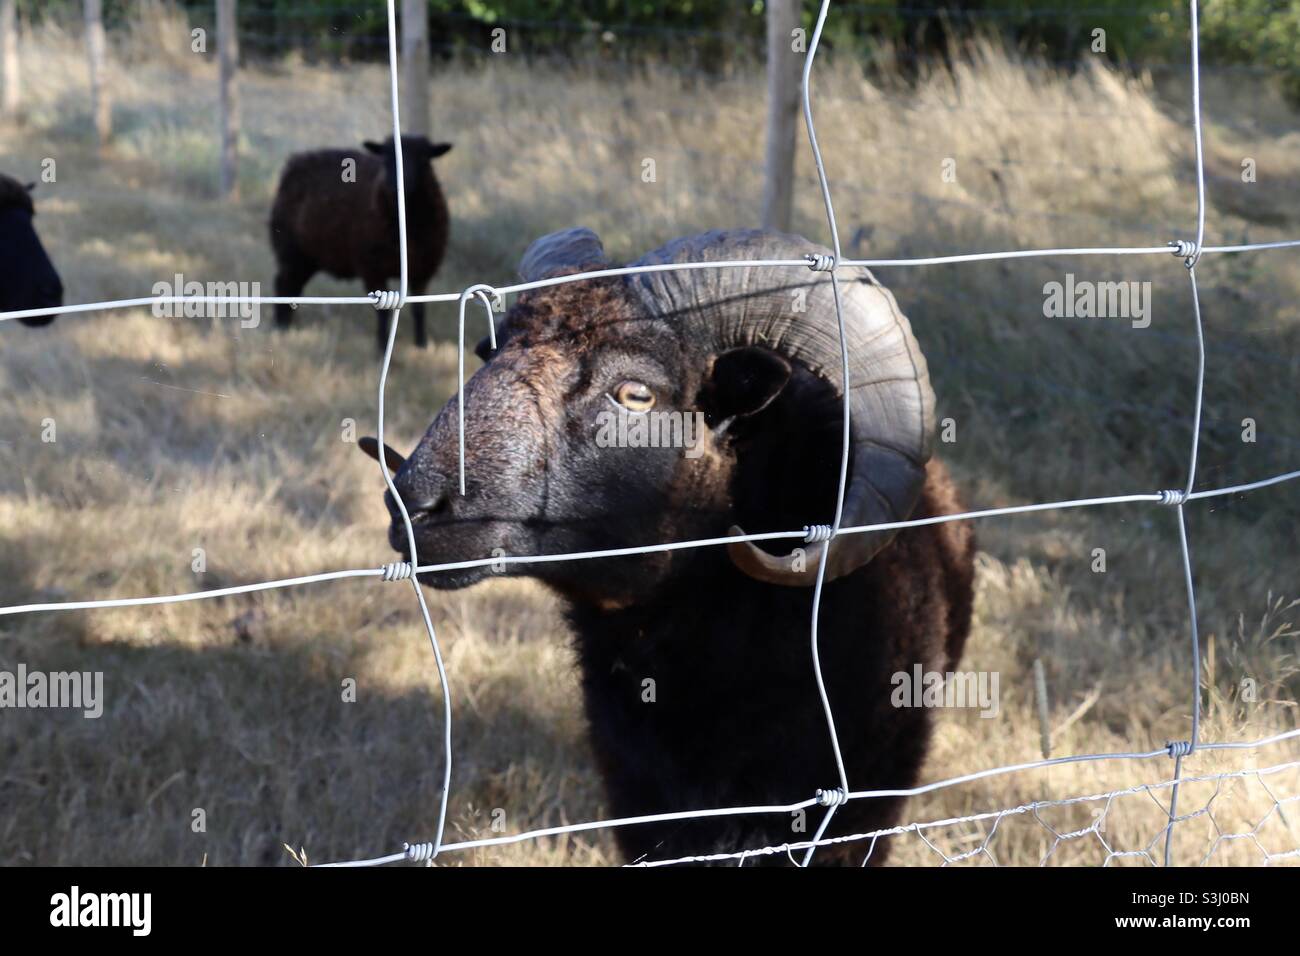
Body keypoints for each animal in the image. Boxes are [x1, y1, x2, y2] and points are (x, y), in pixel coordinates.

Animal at [268, 135, 451, 352]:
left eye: (424, 159)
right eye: (385, 158)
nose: (394, 185)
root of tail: (295, 162)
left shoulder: (423, 270)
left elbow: (419, 308)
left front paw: (421, 345)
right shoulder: (372, 268)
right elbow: (384, 312)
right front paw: (382, 348)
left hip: (308, 257)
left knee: (292, 286)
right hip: (292, 251)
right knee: (283, 283)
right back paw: (281, 326)